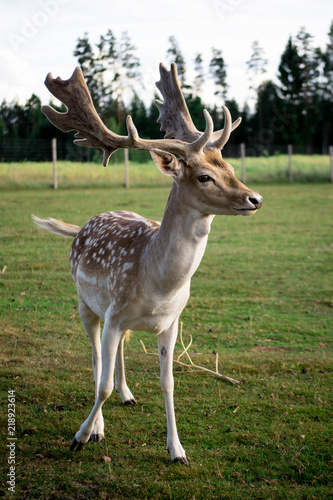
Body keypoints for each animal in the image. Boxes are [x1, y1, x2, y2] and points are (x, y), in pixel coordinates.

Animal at [33, 62, 262, 464]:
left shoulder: (172, 322)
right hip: (85, 303)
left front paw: (177, 450)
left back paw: (128, 394)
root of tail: (82, 225)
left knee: (119, 352)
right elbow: (101, 383)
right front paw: (82, 436)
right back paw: (99, 424)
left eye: (230, 167)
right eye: (204, 176)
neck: (158, 284)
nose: (255, 198)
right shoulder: (112, 314)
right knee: (96, 358)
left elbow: (168, 383)